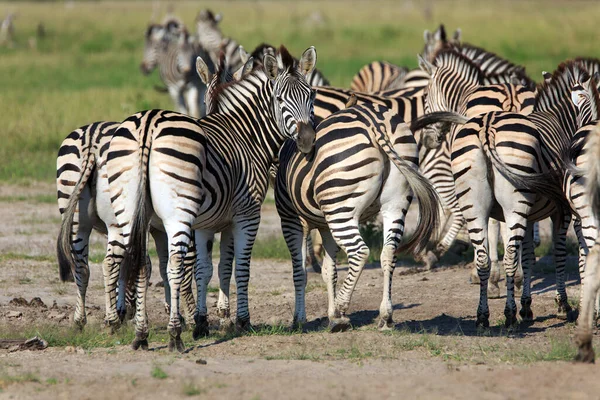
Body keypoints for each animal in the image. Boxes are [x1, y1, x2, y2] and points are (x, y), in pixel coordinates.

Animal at [55, 122, 196, 332]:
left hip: (77, 218)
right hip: (118, 219)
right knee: (109, 263)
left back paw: (81, 320)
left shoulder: (156, 230)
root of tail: (90, 140)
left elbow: (150, 266)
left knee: (81, 266)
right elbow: (161, 265)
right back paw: (112, 320)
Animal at [105, 47, 316, 352]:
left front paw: (202, 323)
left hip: (129, 213)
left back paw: (140, 334)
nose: (307, 141)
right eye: (279, 99)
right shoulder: (247, 214)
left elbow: (206, 269)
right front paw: (241, 321)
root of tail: (149, 123)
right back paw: (174, 335)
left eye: (311, 95)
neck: (246, 134)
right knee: (174, 265)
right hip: (178, 213)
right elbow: (240, 268)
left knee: (138, 264)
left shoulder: (208, 223)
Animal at [274, 101, 438, 330]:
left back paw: (342, 307)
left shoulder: (291, 219)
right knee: (389, 252)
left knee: (360, 252)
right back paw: (385, 316)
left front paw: (300, 320)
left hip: (340, 209)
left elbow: (300, 271)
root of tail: (376, 122)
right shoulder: (324, 226)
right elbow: (329, 271)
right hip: (395, 204)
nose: (304, 143)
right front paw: (331, 315)